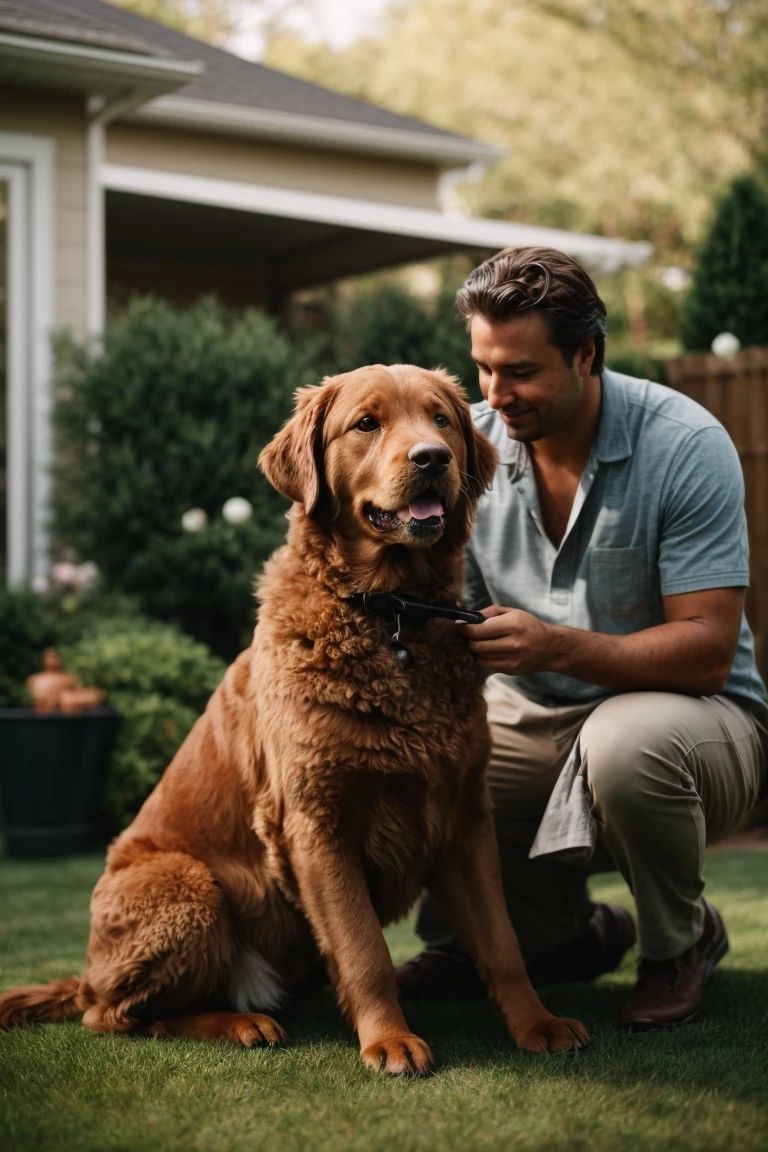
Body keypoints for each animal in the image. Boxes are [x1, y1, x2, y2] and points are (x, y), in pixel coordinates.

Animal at [0, 366, 589, 1069]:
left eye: (441, 419)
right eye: (367, 424)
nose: (432, 458)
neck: (390, 612)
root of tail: (85, 974)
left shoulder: (464, 818)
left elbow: (502, 945)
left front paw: (538, 1024)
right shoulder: (316, 823)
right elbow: (365, 950)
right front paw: (390, 1040)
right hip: (188, 885)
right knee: (112, 1015)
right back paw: (238, 1023)